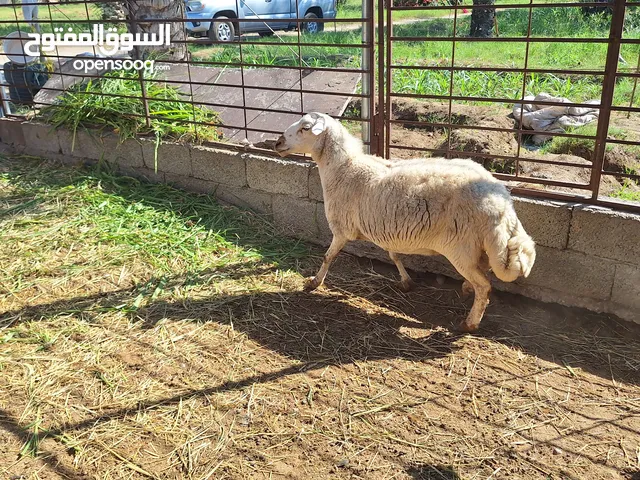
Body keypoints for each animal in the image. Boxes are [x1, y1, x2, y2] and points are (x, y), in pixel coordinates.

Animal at [274, 112, 536, 332]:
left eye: (305, 128)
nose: (277, 143)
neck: (344, 169)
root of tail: (502, 203)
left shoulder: (341, 229)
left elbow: (328, 256)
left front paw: (314, 283)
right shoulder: (387, 228)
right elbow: (394, 255)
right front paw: (406, 282)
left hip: (461, 247)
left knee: (484, 286)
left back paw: (470, 322)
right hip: (482, 246)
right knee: (484, 272)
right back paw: (466, 289)